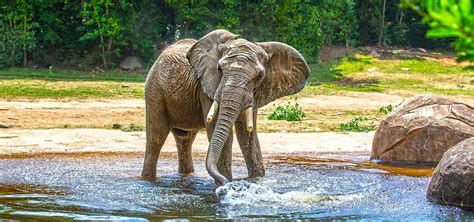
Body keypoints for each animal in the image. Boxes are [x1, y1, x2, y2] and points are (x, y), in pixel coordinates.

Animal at [141, 29, 312, 186]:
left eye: (259, 77)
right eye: (219, 69)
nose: (223, 182)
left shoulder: (255, 93)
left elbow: (247, 135)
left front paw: (256, 181)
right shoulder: (208, 88)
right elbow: (223, 134)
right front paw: (224, 184)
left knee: (185, 139)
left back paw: (187, 176)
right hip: (154, 89)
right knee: (156, 136)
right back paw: (147, 179)